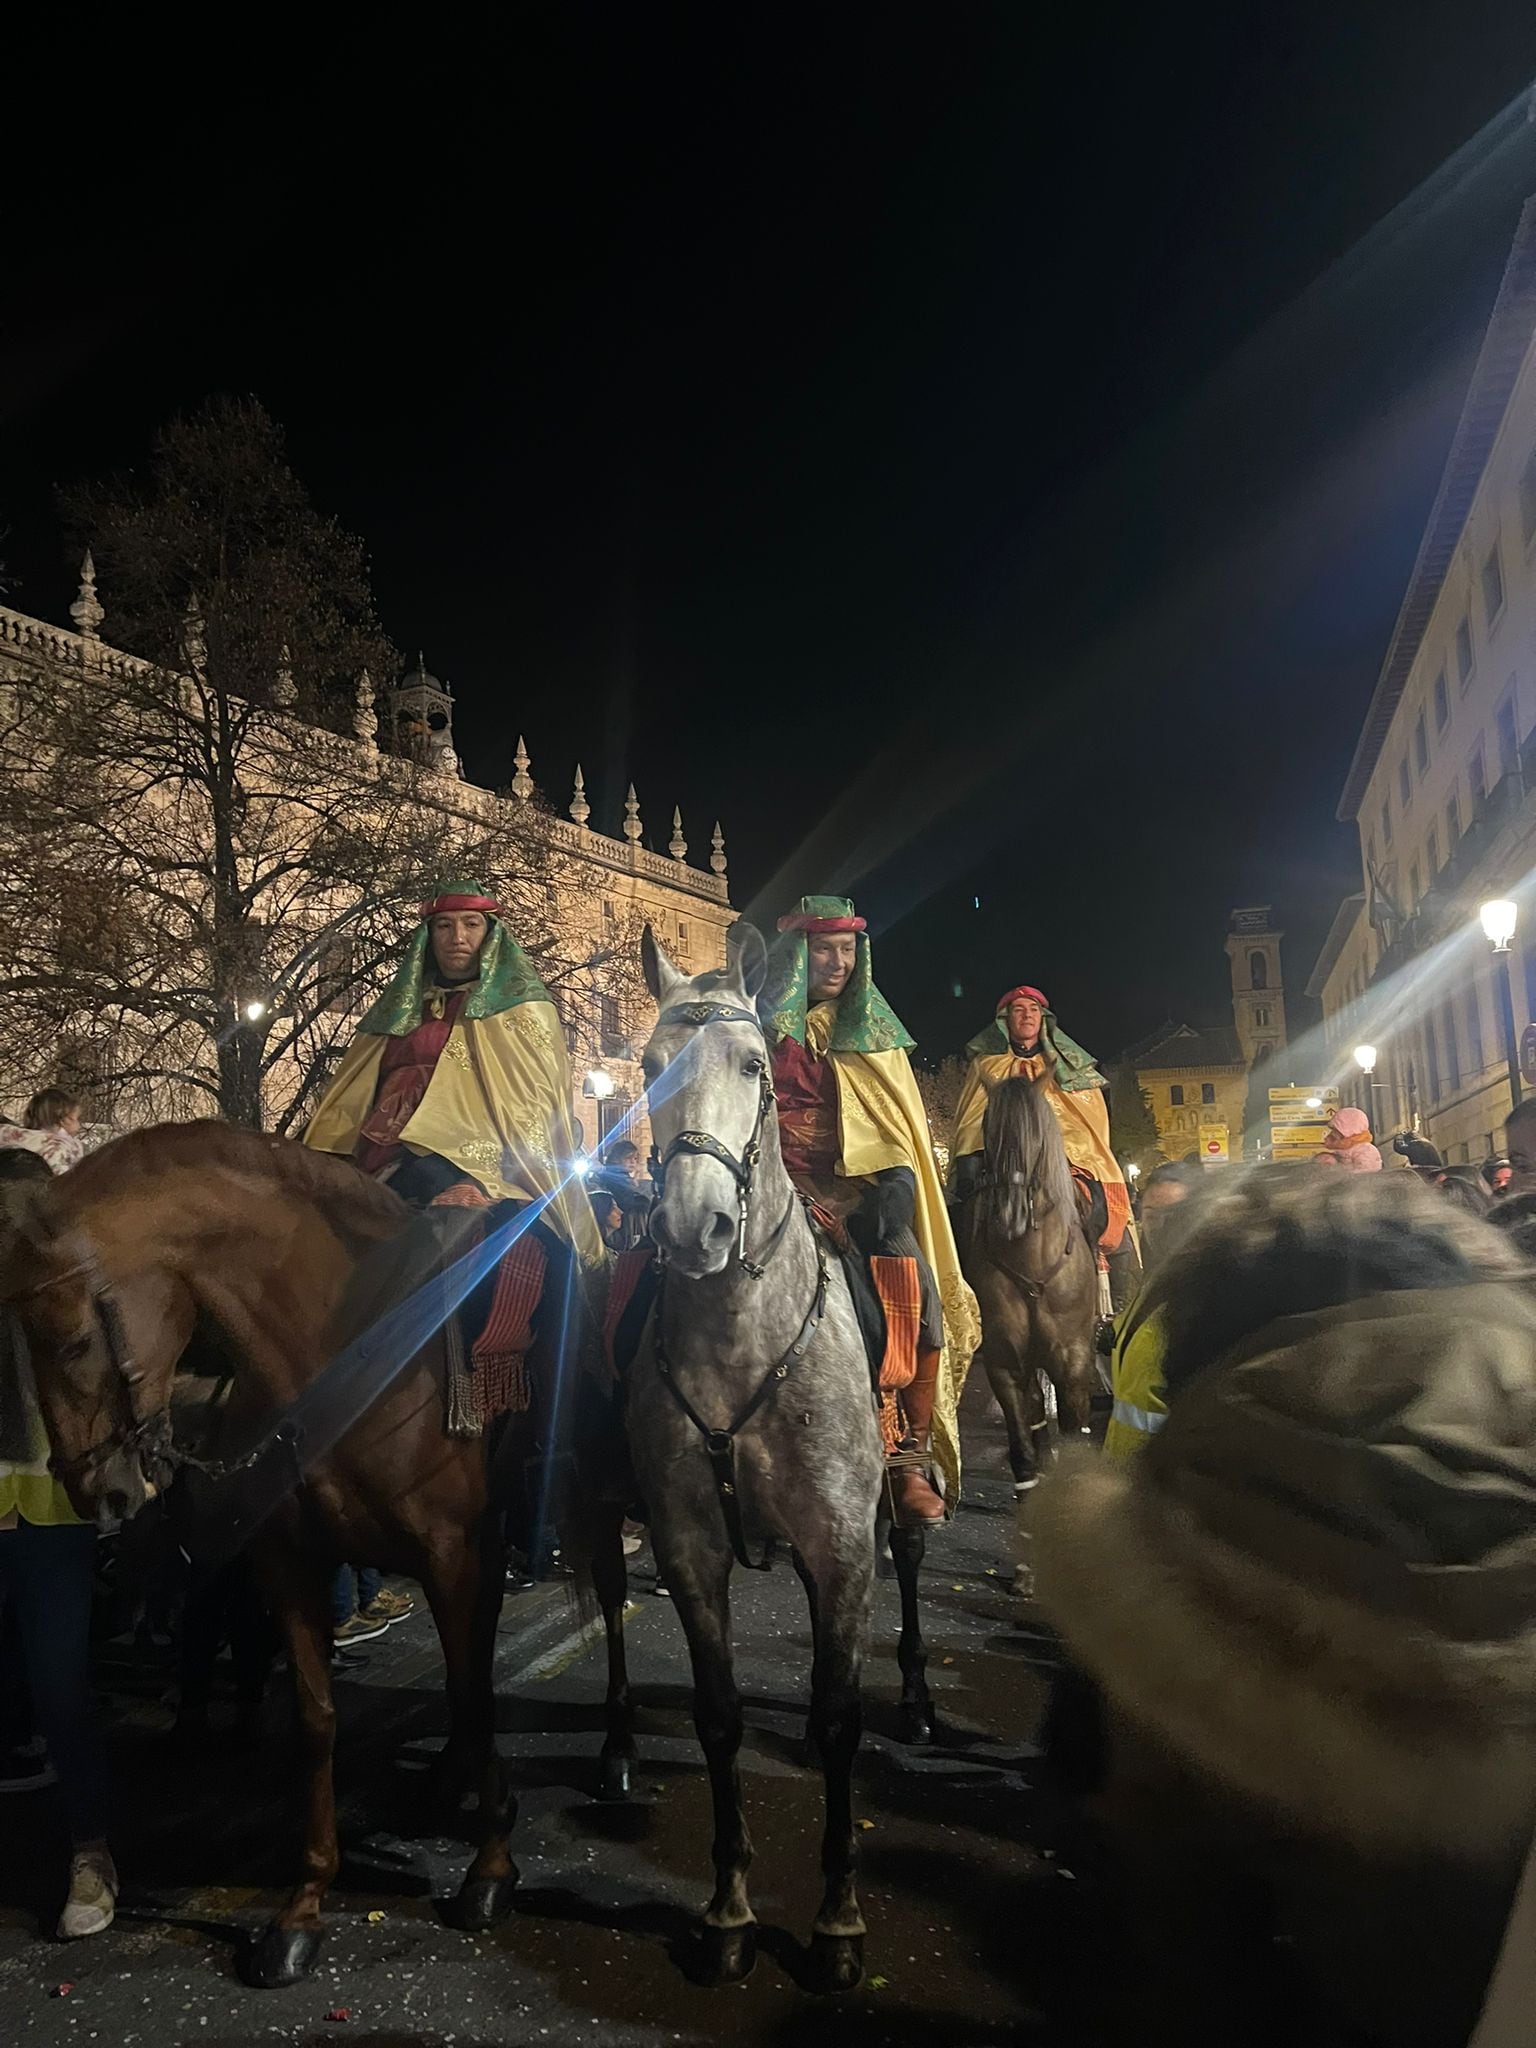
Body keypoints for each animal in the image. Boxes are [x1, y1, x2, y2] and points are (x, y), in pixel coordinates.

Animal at [0, 1130, 626, 1990]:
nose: (100, 1493)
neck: (347, 1352)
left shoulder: (451, 1555)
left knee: (611, 1605)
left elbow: (472, 1693)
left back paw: (614, 1754)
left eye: (71, 1339)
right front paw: (302, 1909)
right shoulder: (291, 1566)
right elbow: (317, 1719)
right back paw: (452, 1777)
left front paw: (491, 1869)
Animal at [958, 1081, 1097, 1499]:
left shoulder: (1073, 1359)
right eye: (988, 1128)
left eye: (1037, 1132)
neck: (1029, 1259)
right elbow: (1021, 1444)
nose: (1011, 1214)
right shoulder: (1004, 1361)